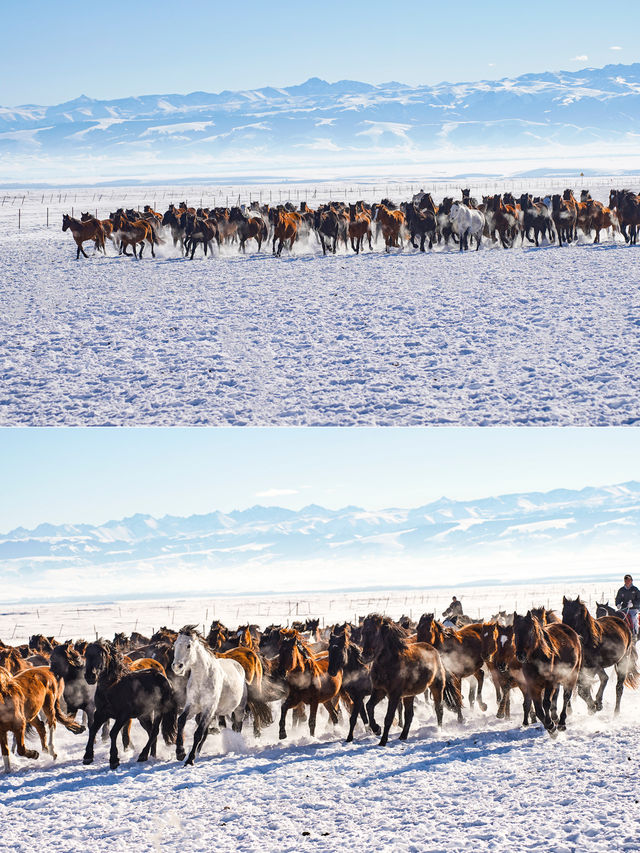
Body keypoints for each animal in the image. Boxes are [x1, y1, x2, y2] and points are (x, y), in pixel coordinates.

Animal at [83, 640, 178, 772]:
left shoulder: (123, 715)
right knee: (150, 732)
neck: (112, 687)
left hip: (159, 710)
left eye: (101, 655)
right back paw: (152, 754)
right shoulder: (101, 713)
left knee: (154, 731)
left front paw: (114, 760)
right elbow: (93, 730)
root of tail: (162, 676)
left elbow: (113, 733)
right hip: (144, 715)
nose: (90, 676)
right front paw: (88, 756)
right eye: (86, 655)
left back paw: (143, 755)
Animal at [172, 624, 248, 764]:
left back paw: (237, 745)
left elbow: (198, 732)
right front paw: (180, 752)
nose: (177, 666)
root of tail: (238, 665)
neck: (202, 678)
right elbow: (181, 721)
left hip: (239, 709)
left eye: (188, 645)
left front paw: (189, 759)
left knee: (237, 727)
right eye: (175, 645)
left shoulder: (209, 707)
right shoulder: (193, 706)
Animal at [360, 612, 460, 744]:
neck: (389, 663)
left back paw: (438, 731)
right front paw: (377, 729)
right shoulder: (379, 690)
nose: (365, 656)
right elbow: (369, 707)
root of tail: (435, 651)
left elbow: (388, 717)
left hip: (437, 687)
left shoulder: (394, 694)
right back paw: (403, 736)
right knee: (409, 715)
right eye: (363, 632)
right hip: (409, 695)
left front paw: (383, 741)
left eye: (375, 632)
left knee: (439, 709)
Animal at [512, 608, 584, 736]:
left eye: (530, 631)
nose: (520, 655)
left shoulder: (549, 682)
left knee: (566, 697)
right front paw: (550, 727)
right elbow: (538, 708)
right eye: (515, 631)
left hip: (571, 676)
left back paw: (561, 723)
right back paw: (555, 719)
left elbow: (546, 703)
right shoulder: (533, 685)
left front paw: (551, 726)